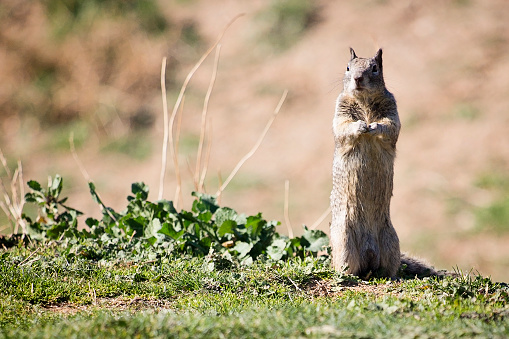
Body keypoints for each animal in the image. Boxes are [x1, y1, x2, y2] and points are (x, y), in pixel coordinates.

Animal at [330, 49, 436, 280]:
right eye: (348, 68)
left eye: (375, 68)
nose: (358, 79)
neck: (364, 100)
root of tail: (369, 253)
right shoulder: (340, 112)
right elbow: (344, 126)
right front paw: (361, 125)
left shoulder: (392, 111)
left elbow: (390, 125)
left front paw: (374, 126)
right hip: (344, 242)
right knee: (347, 267)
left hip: (390, 242)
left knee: (388, 268)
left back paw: (391, 276)